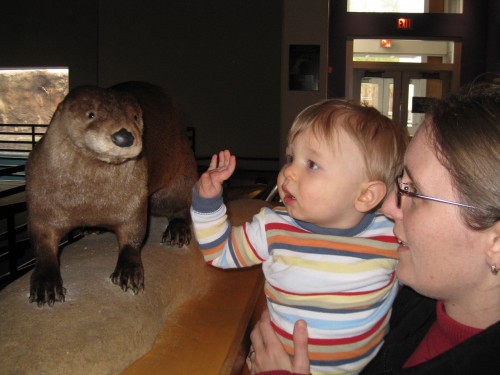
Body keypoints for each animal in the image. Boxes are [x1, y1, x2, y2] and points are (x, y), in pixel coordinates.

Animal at [25, 81, 197, 306]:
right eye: (91, 114)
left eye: (135, 116)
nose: (124, 136)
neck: (87, 198)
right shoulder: (41, 200)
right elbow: (41, 240)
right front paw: (46, 283)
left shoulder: (134, 198)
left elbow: (133, 234)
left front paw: (129, 272)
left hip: (179, 175)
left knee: (182, 206)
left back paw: (177, 231)